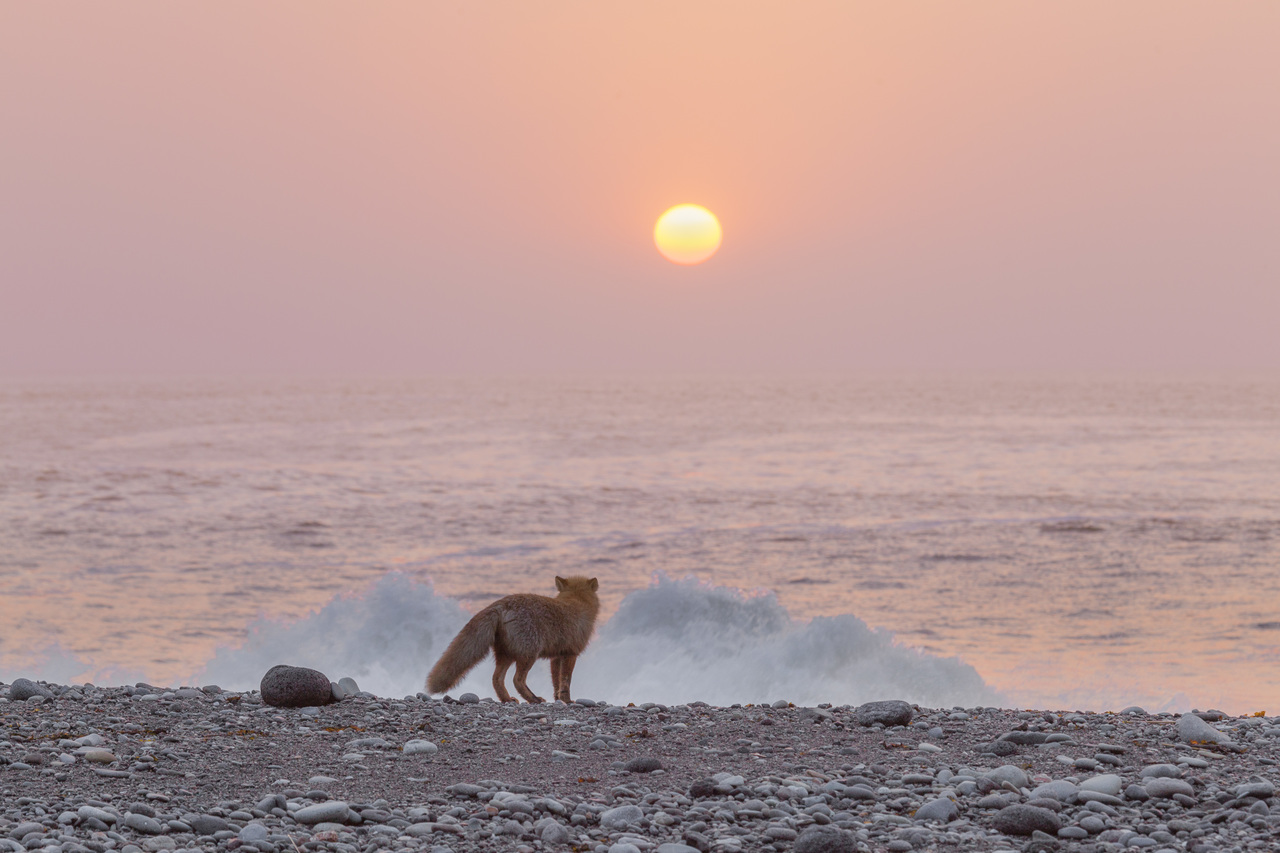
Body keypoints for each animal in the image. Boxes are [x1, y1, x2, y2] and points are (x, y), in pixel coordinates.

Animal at [422, 573, 596, 701]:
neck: (576, 602)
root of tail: (500, 604)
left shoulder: (556, 656)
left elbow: (556, 682)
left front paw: (558, 699)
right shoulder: (571, 653)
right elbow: (565, 681)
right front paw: (567, 701)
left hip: (505, 655)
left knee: (496, 679)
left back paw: (507, 699)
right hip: (528, 655)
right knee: (517, 680)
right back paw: (533, 699)